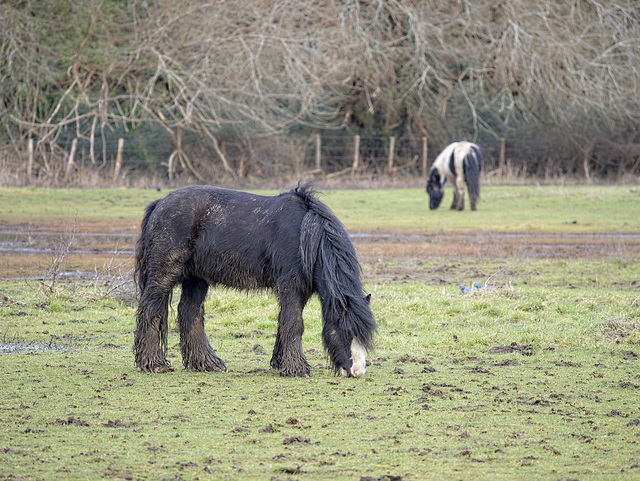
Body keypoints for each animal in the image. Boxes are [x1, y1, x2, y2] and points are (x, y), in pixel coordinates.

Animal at [134, 184, 376, 376]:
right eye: (345, 330)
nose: (357, 371)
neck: (304, 234)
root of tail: (160, 203)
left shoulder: (300, 291)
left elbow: (284, 322)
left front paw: (280, 363)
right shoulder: (291, 286)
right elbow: (294, 323)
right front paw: (297, 369)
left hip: (197, 279)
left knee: (189, 313)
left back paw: (208, 363)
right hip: (164, 273)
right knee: (152, 310)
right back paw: (154, 364)